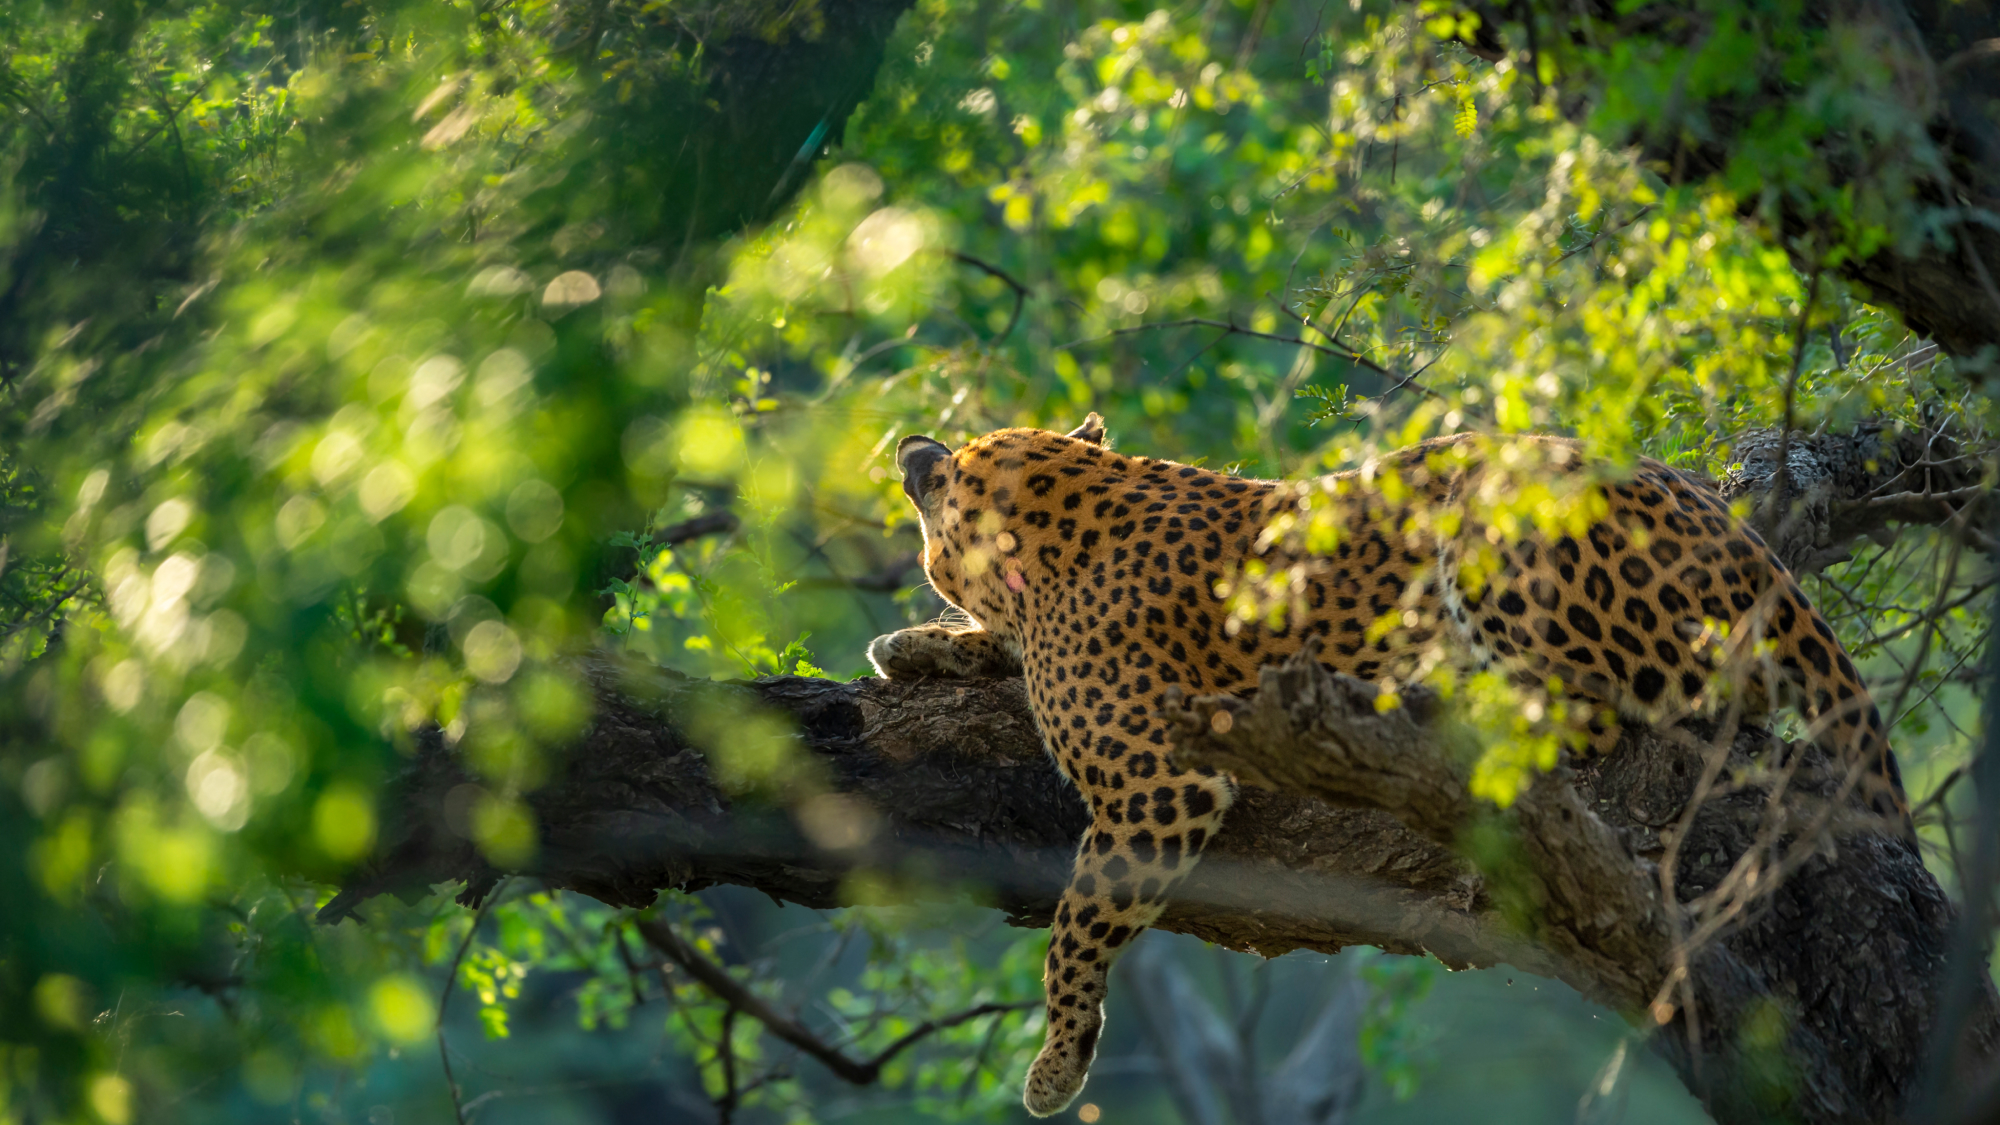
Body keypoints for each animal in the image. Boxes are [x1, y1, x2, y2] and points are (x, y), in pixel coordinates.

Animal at [864, 412, 1904, 1112]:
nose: (913, 453)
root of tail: (1746, 542)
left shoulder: (1157, 785)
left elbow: (1076, 926)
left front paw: (1056, 1061)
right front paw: (907, 644)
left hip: (1500, 533)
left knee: (1617, 710)